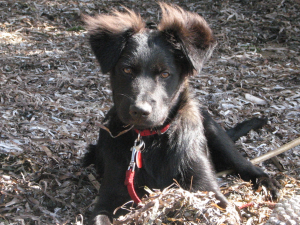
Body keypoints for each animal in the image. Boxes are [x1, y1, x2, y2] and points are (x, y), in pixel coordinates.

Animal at [82, 2, 278, 224]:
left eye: (165, 74)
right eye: (126, 70)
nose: (139, 111)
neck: (150, 140)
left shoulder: (207, 189)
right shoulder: (109, 198)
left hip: (215, 133)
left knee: (243, 163)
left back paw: (266, 182)